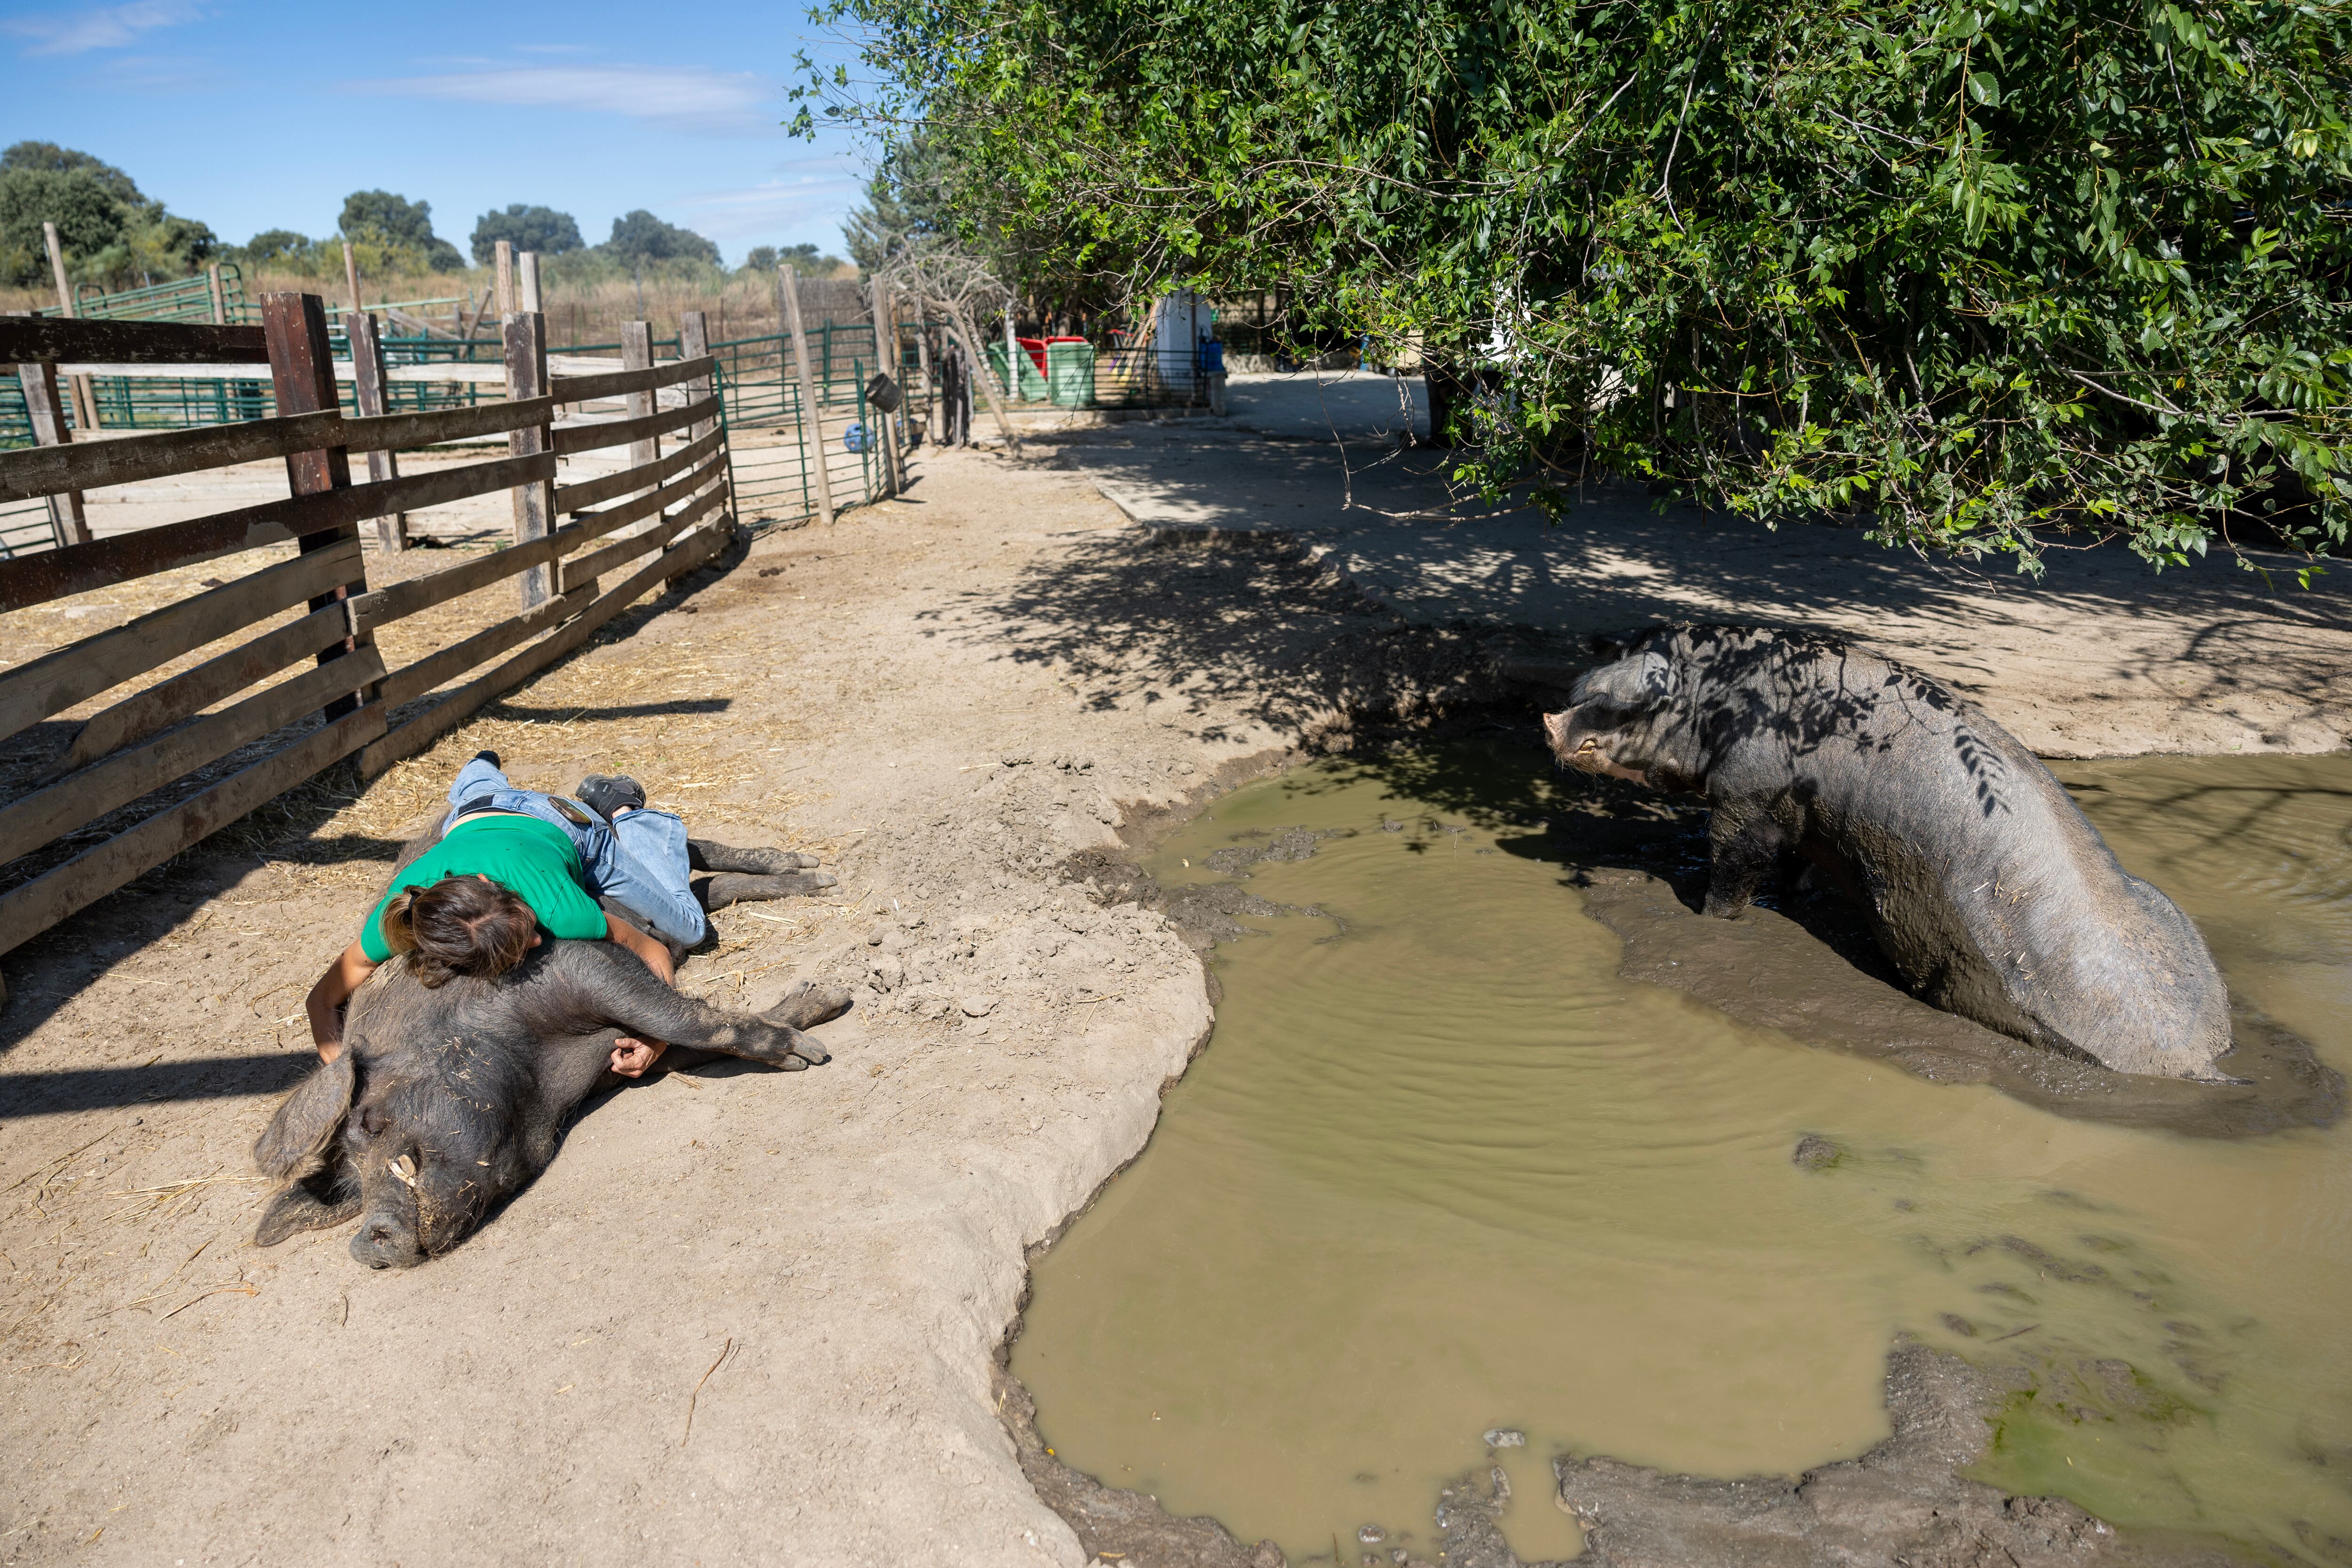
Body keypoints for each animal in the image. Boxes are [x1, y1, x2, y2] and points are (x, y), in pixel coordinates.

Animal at [248, 841, 851, 1269]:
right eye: (350, 1184)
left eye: (370, 1123)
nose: (362, 1244)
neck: (545, 1085)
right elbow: (679, 1041)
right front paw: (818, 1015)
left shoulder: (576, 965)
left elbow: (682, 1019)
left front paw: (821, 1036)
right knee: (708, 890)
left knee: (695, 857)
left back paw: (820, 875)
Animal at [1543, 625, 2220, 1081]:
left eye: (1617, 706)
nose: (1549, 724)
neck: (1714, 706)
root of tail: (2196, 1065)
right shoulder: (1804, 817)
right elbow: (1795, 867)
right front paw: (1794, 898)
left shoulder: (1748, 794)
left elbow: (1735, 861)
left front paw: (1711, 918)